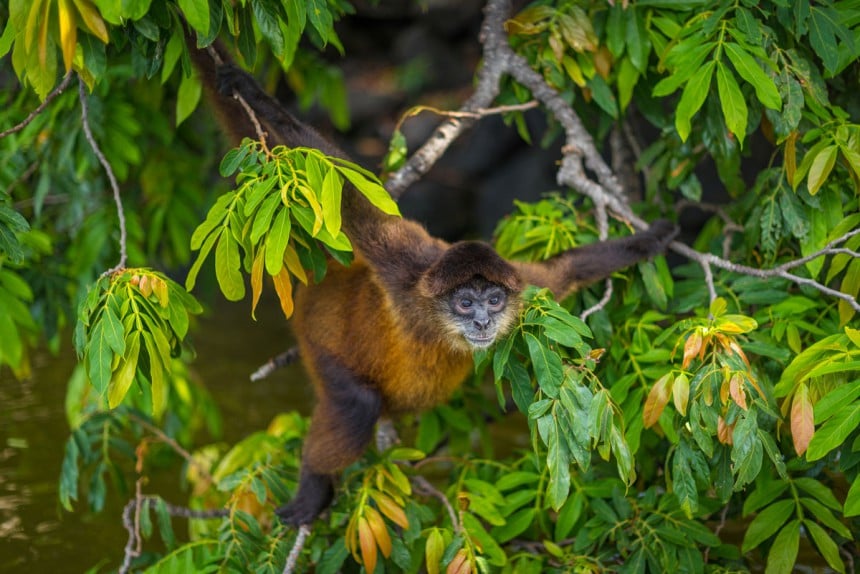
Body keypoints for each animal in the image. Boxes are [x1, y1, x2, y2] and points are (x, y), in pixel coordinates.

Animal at [186, 32, 680, 528]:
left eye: (493, 300)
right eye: (465, 302)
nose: (483, 322)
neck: (438, 323)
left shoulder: (520, 281)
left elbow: (569, 269)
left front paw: (657, 236)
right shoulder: (405, 269)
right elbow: (354, 199)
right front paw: (249, 90)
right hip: (319, 339)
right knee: (356, 404)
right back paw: (314, 486)